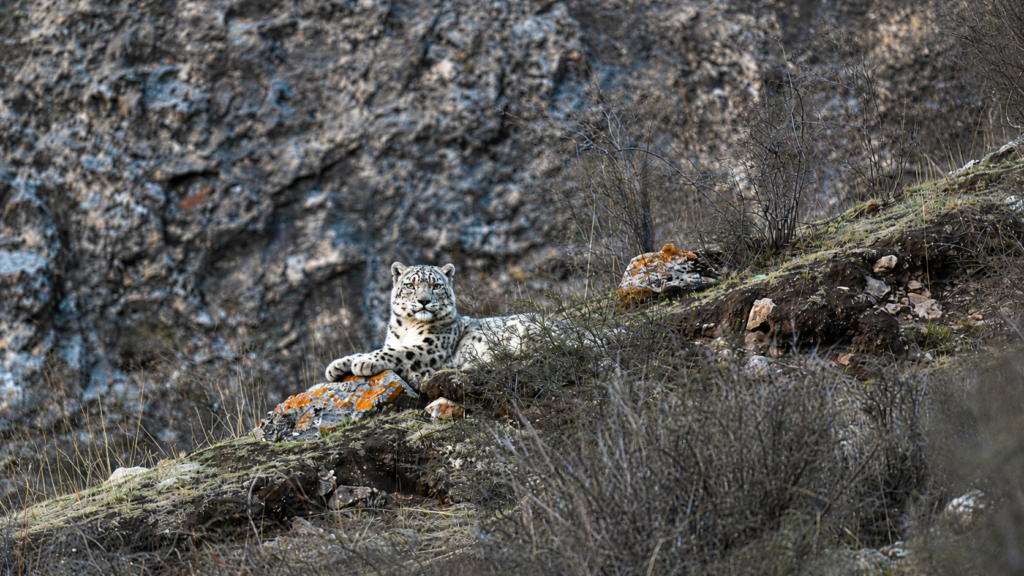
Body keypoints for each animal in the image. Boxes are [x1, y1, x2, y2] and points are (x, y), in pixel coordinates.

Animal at [325, 262, 540, 387]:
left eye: (436, 286)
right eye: (410, 285)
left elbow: (397, 352)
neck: (406, 326)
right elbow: (378, 349)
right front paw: (338, 365)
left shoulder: (431, 347)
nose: (424, 301)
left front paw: (364, 362)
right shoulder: (391, 342)